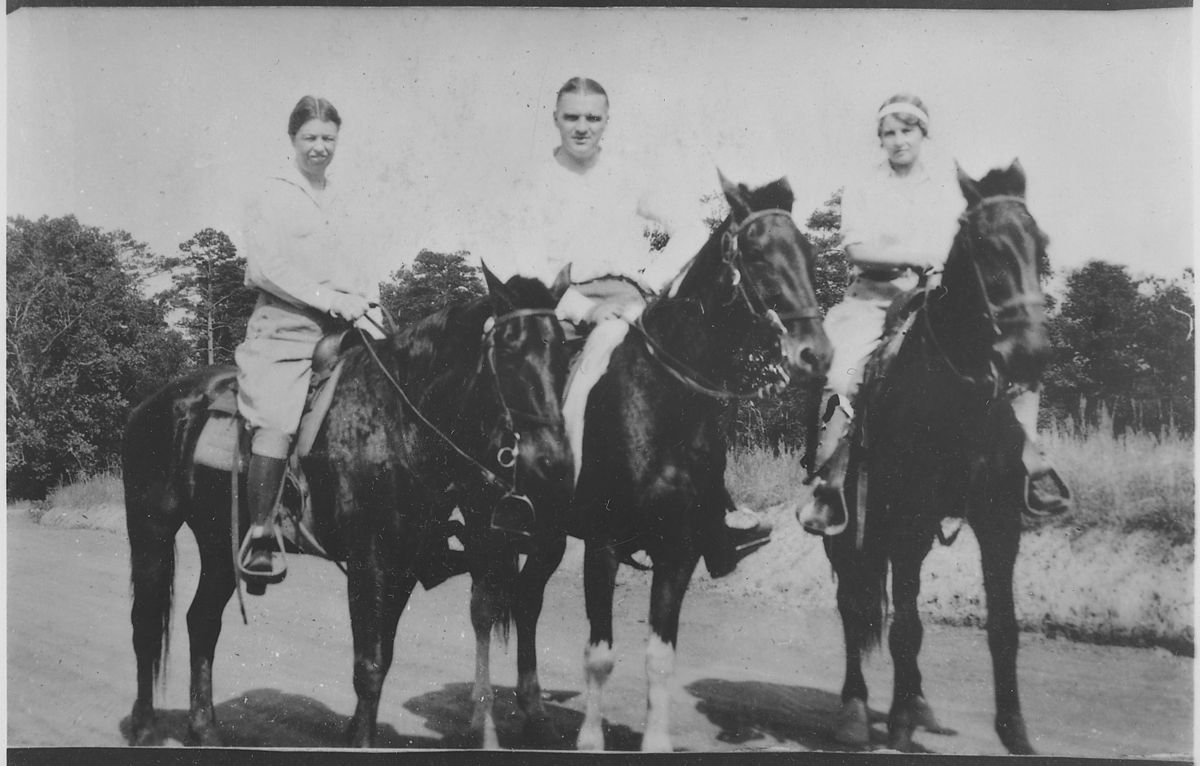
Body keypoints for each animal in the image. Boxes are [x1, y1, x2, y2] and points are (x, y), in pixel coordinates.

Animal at [124, 268, 573, 749]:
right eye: (508, 352)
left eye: (563, 354)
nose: (553, 462)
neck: (397, 422)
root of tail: (153, 404)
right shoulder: (368, 561)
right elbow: (368, 664)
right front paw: (360, 738)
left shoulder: (403, 565)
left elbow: (382, 658)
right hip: (151, 531)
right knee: (146, 623)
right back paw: (145, 726)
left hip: (219, 544)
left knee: (202, 621)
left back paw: (204, 727)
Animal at [571, 172, 835, 749]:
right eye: (756, 254)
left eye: (807, 251)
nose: (816, 355)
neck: (658, 400)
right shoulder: (601, 544)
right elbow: (599, 655)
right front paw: (590, 739)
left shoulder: (679, 548)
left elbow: (660, 659)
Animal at [825, 162, 1051, 758]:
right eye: (984, 247)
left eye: (1040, 244)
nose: (1030, 353)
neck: (958, 395)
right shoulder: (907, 516)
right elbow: (905, 626)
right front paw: (900, 723)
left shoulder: (997, 521)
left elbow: (1004, 627)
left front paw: (1015, 731)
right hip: (848, 528)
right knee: (853, 605)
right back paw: (855, 711)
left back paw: (921, 704)